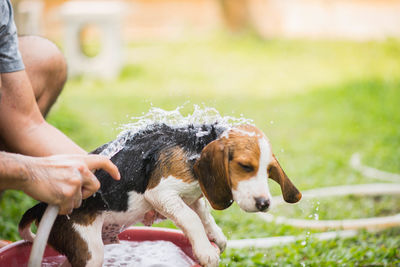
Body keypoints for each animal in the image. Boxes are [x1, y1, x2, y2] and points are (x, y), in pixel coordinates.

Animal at [18, 123, 300, 267]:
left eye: (269, 171)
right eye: (245, 166)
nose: (264, 204)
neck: (195, 147)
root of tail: (43, 207)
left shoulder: (193, 196)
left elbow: (203, 214)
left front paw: (216, 237)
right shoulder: (159, 193)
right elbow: (192, 219)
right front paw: (205, 251)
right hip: (88, 249)